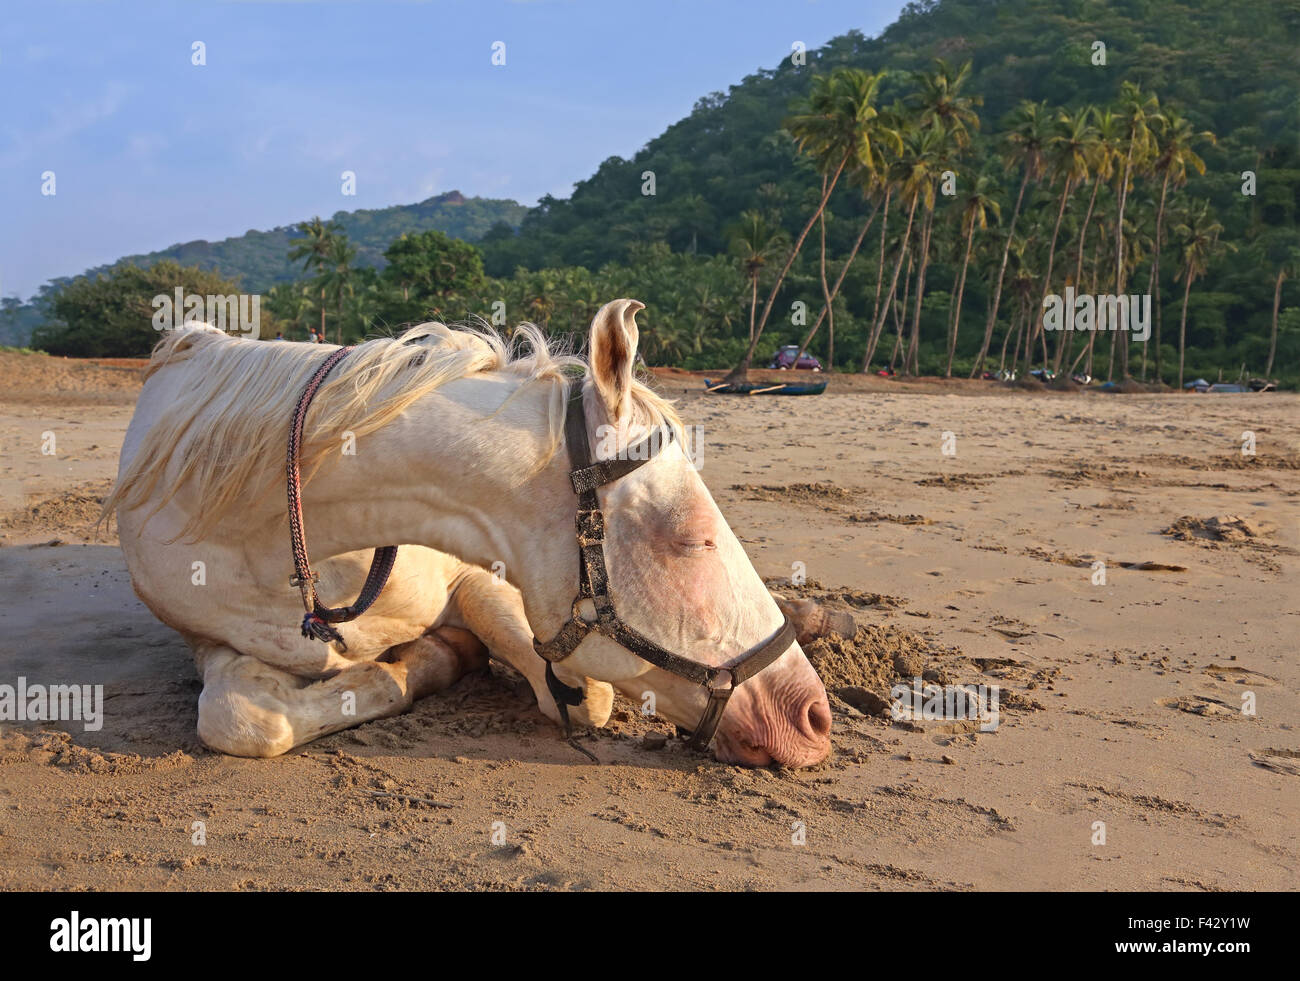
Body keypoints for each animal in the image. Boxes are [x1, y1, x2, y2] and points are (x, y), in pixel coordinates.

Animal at [104, 298, 832, 769]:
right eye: (693, 538)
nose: (813, 716)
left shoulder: (476, 573)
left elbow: (584, 695)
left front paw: (438, 655)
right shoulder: (208, 640)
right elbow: (239, 718)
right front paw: (422, 658)